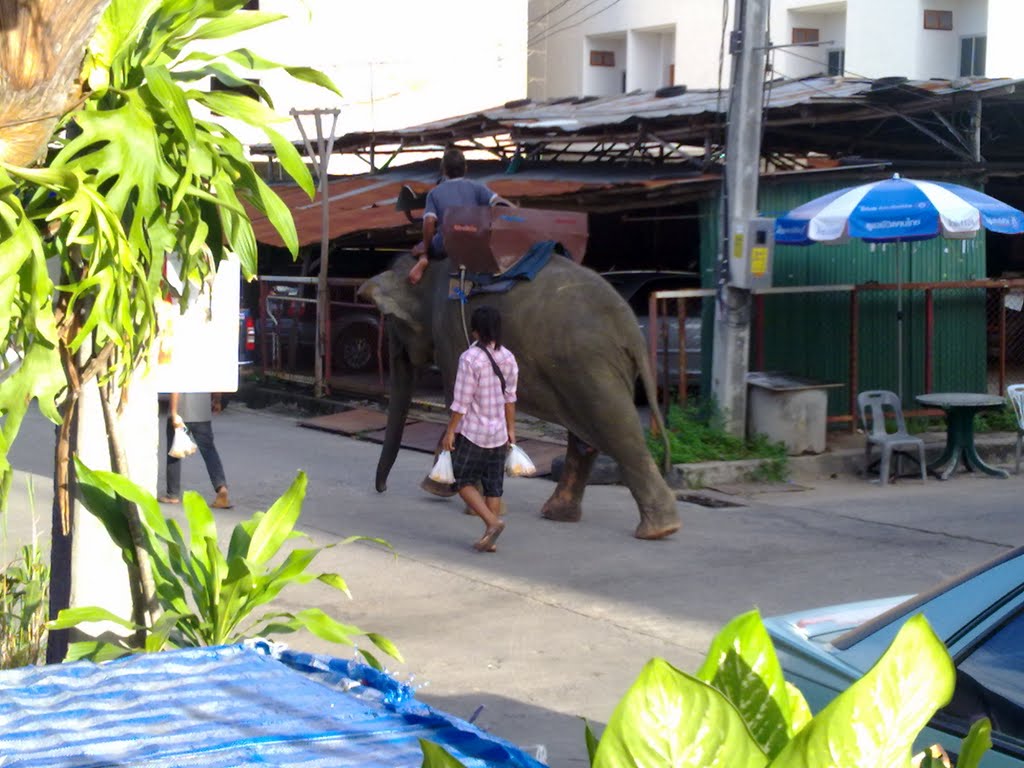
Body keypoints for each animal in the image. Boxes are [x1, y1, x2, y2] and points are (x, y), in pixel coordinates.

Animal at [356, 252, 684, 540]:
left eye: (393, 324)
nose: (381, 490)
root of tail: (631, 329)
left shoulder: (450, 333)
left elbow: (458, 403)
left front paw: (442, 490)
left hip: (590, 366)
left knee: (614, 429)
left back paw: (659, 530)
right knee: (587, 437)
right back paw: (560, 514)